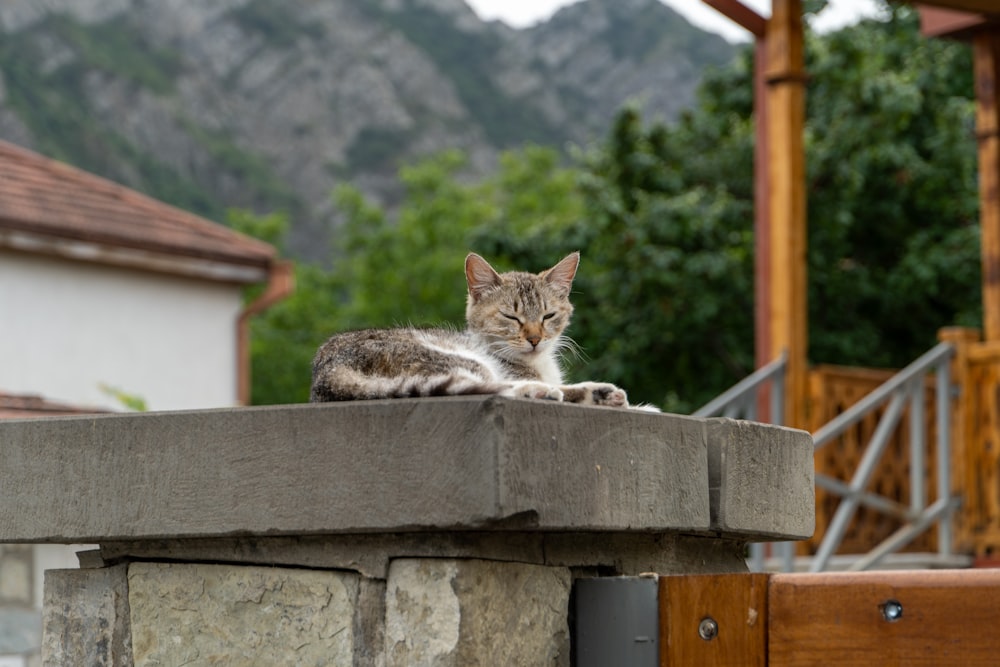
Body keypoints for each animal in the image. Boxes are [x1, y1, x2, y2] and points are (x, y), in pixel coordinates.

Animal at [308, 250, 632, 408]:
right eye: (510, 317)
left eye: (548, 315)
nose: (535, 339)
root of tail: (325, 373)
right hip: (455, 360)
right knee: (486, 388)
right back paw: (539, 391)